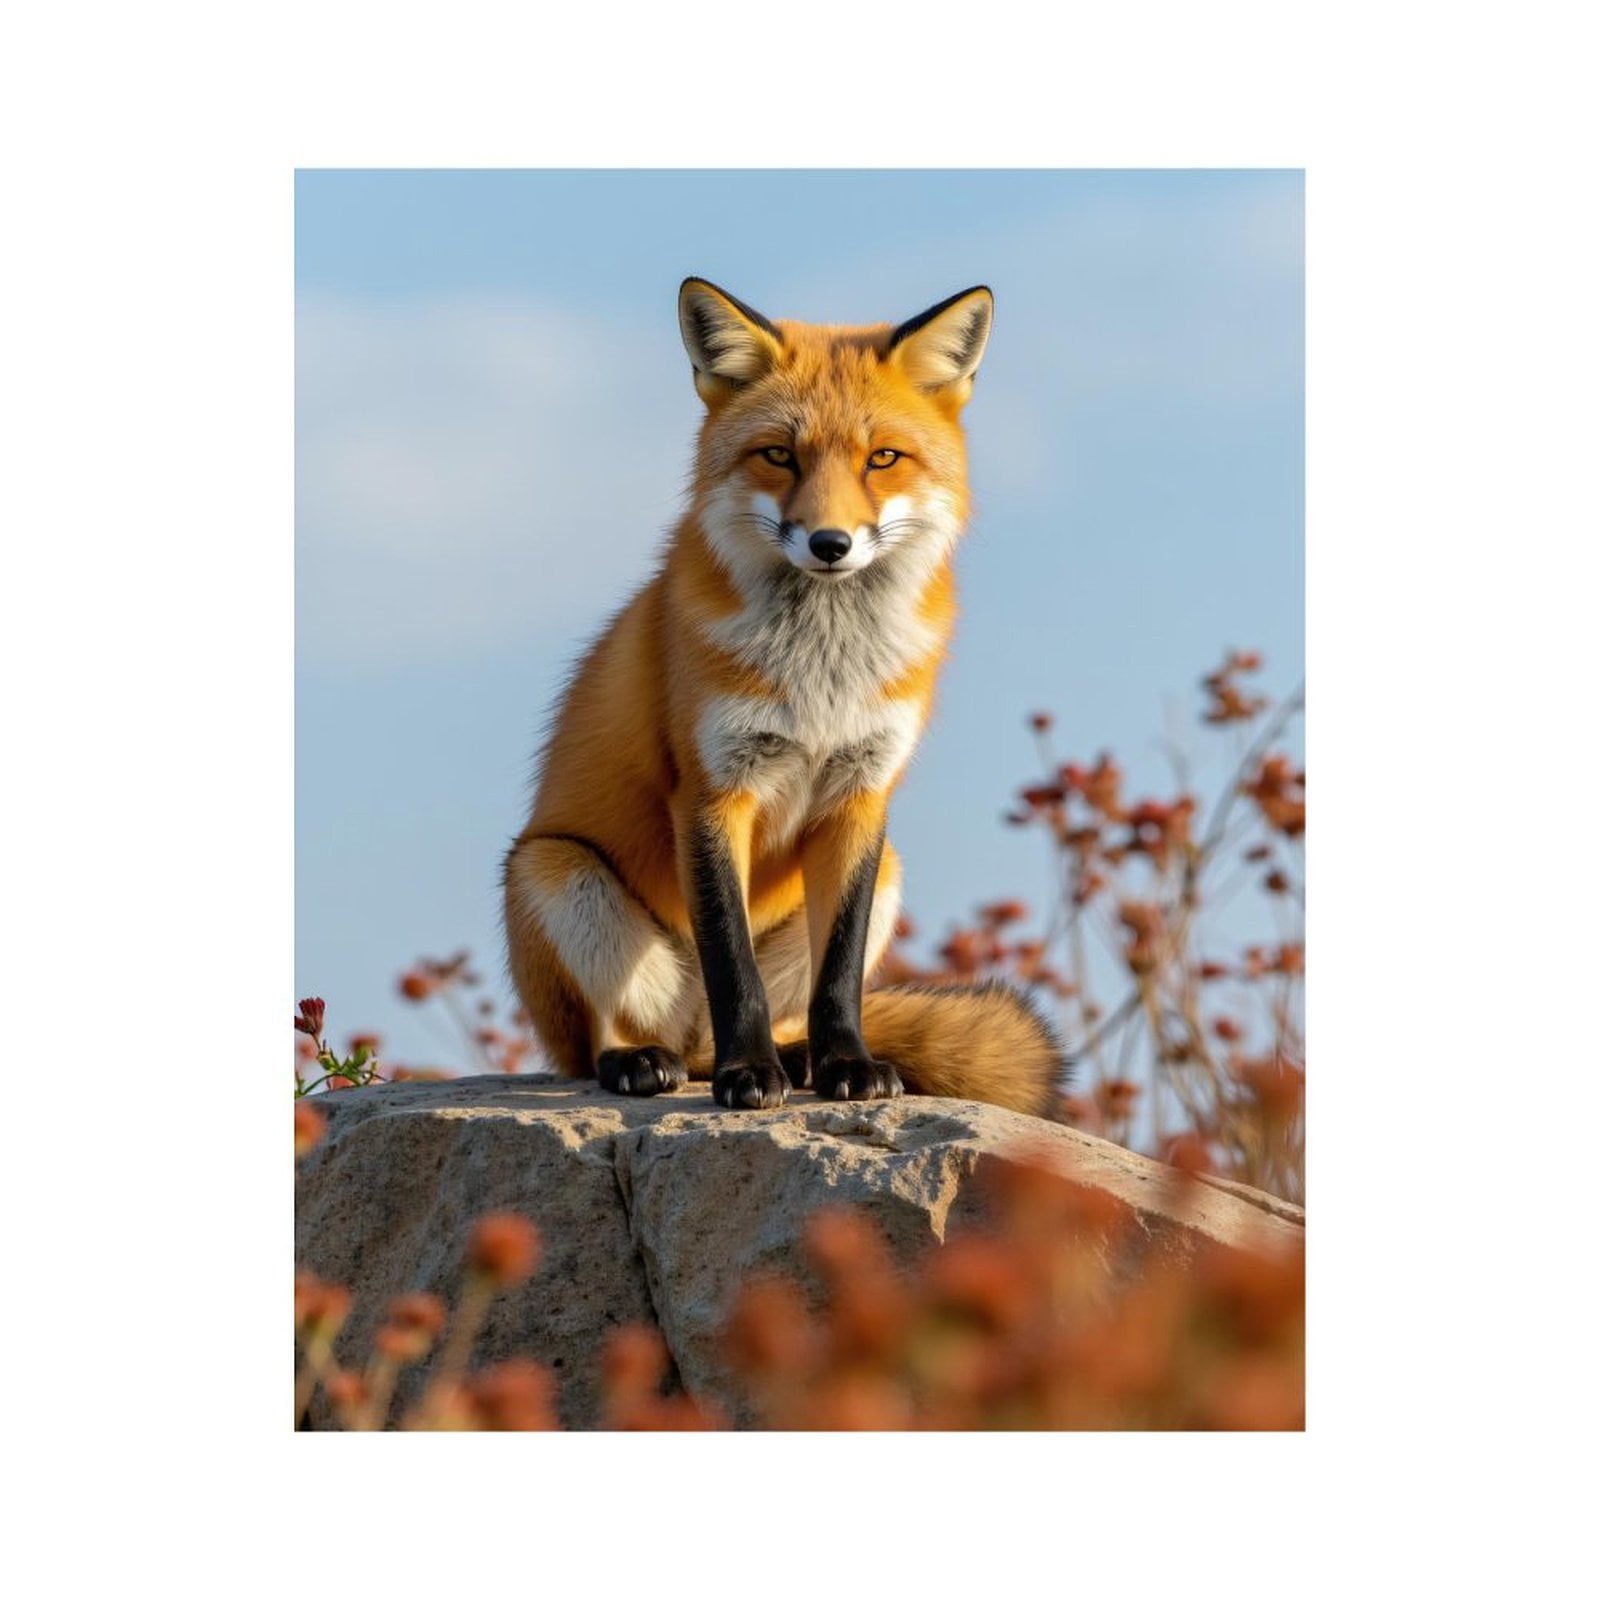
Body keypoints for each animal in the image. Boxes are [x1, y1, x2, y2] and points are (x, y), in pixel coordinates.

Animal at [502, 278, 1062, 1116]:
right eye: (778, 455)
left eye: (882, 459)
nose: (830, 543)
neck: (822, 675)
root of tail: (687, 1040)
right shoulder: (710, 792)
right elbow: (734, 966)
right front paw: (748, 1075)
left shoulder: (863, 796)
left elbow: (840, 974)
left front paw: (846, 1066)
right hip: (558, 872)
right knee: (601, 1044)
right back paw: (649, 1061)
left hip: (889, 871)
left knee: (778, 1017)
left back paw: (797, 1061)